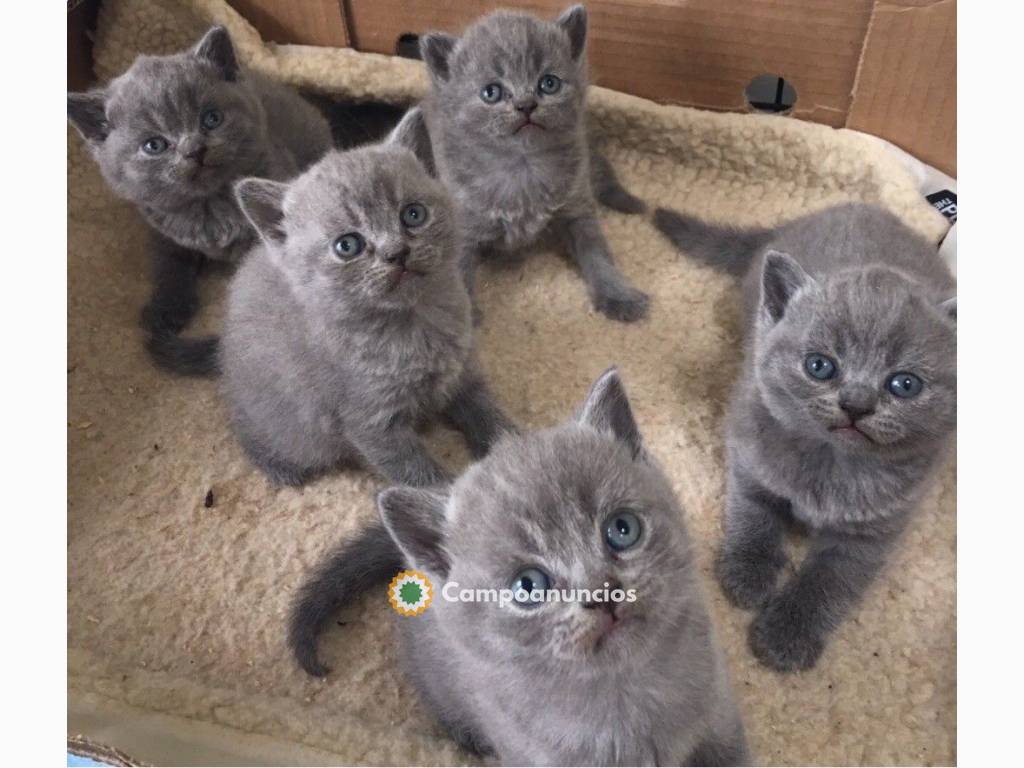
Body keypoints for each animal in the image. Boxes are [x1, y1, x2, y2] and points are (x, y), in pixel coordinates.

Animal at [67, 29, 331, 376]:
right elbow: (168, 264)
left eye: (211, 119)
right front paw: (165, 309)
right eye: (154, 145)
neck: (210, 206)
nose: (194, 150)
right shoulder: (161, 227)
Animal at [219, 108, 516, 487]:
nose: (396, 252)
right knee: (256, 437)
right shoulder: (371, 425)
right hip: (281, 425)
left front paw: (516, 447)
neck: (414, 326)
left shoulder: (462, 372)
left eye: (413, 214)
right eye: (348, 246)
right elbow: (418, 476)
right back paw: (283, 470)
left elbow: (487, 413)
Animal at [417, 3, 647, 321]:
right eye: (491, 92)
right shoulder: (462, 219)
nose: (526, 104)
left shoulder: (577, 206)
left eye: (549, 83)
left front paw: (617, 294)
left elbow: (597, 251)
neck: (521, 166)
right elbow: (459, 269)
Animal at [651, 202, 954, 671]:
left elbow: (831, 580)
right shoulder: (751, 452)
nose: (857, 404)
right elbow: (754, 511)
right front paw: (749, 571)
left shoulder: (877, 528)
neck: (831, 464)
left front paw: (786, 635)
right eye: (819, 366)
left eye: (905, 384)